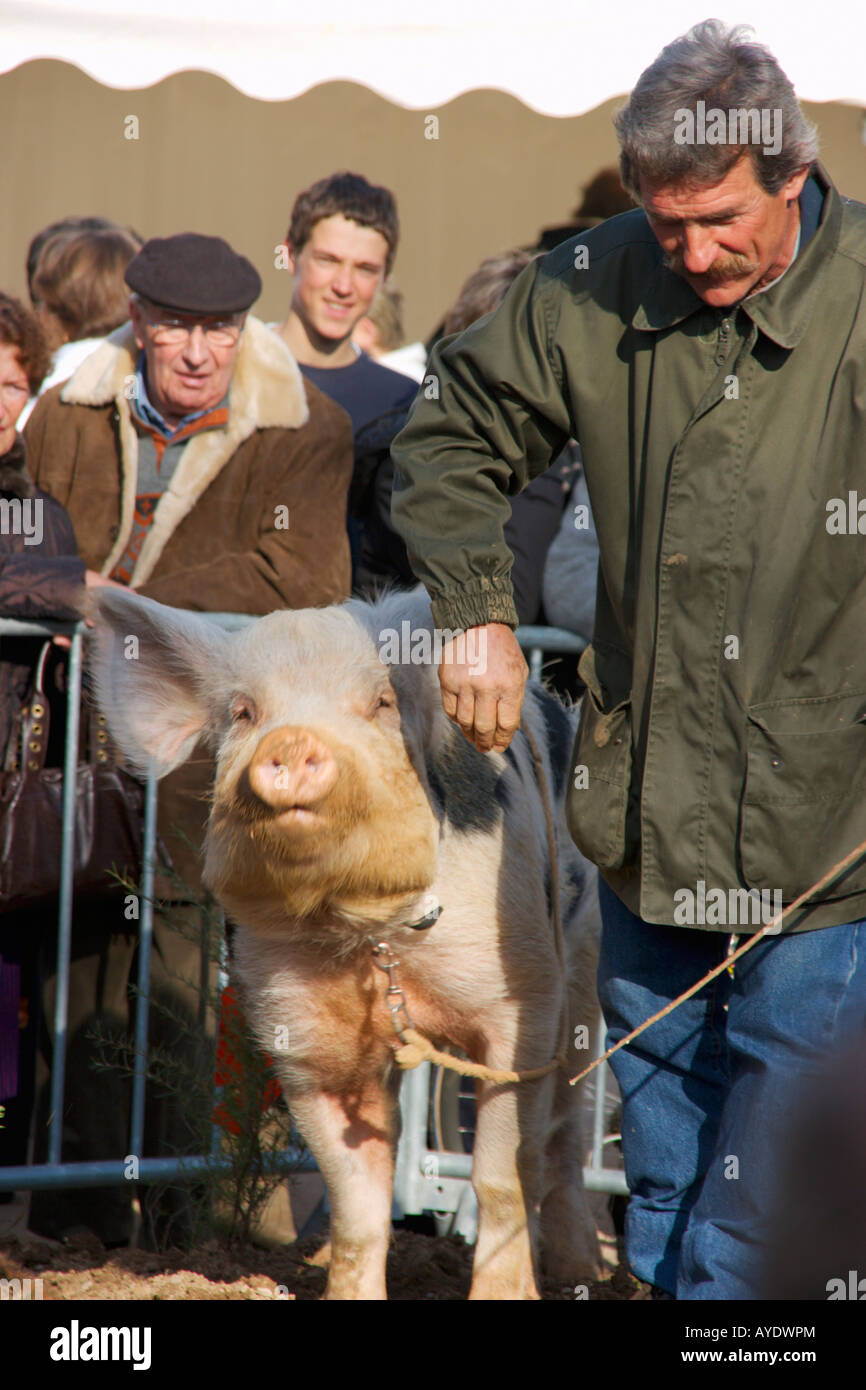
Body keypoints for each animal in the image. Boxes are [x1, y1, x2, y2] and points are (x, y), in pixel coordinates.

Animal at [89, 585, 602, 1300]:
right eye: (244, 712)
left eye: (380, 702)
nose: (294, 739)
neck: (368, 939)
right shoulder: (303, 1037)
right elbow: (356, 1195)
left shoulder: (521, 1001)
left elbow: (502, 1173)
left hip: (582, 966)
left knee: (570, 1127)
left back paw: (583, 1271)